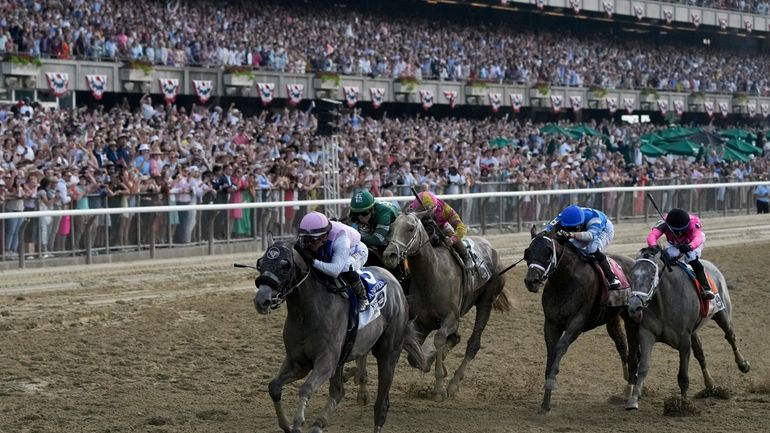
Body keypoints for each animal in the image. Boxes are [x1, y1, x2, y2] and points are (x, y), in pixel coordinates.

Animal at [252, 238, 424, 432]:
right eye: (261, 264)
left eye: (285, 266)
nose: (261, 301)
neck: (307, 311)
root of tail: (395, 282)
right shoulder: (298, 362)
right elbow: (274, 386)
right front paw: (286, 424)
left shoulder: (326, 361)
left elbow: (306, 388)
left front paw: (297, 423)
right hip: (343, 357)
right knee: (338, 391)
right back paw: (318, 423)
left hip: (388, 353)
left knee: (381, 403)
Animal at [380, 211, 510, 400]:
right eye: (390, 228)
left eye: (410, 228)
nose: (389, 255)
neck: (432, 275)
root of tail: (492, 249)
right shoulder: (422, 322)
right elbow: (414, 356)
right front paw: (429, 361)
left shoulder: (451, 318)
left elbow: (439, 339)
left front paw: (439, 389)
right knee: (457, 339)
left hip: (486, 302)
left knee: (473, 343)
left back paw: (454, 384)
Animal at [620, 246, 748, 408]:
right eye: (631, 276)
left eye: (651, 276)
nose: (634, 307)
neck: (664, 302)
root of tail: (712, 266)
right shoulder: (647, 334)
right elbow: (643, 367)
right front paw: (634, 399)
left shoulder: (684, 340)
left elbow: (683, 376)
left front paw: (683, 404)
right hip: (693, 331)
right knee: (700, 353)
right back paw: (710, 384)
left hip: (722, 314)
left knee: (730, 336)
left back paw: (743, 364)